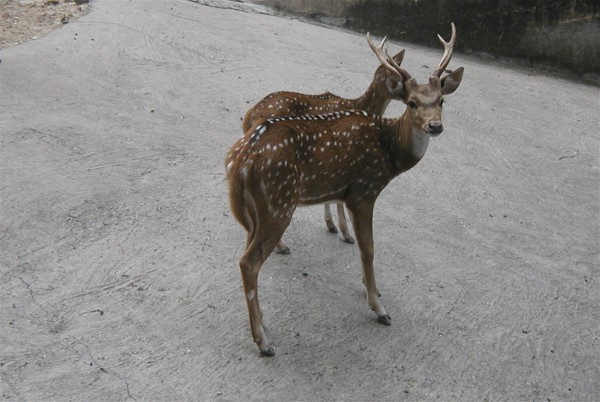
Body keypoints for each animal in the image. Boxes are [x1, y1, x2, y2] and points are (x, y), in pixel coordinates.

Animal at [242, 39, 407, 254]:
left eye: (403, 73)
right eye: (395, 78)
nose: (409, 94)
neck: (359, 106)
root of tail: (248, 117)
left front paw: (332, 226)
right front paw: (345, 233)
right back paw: (281, 246)